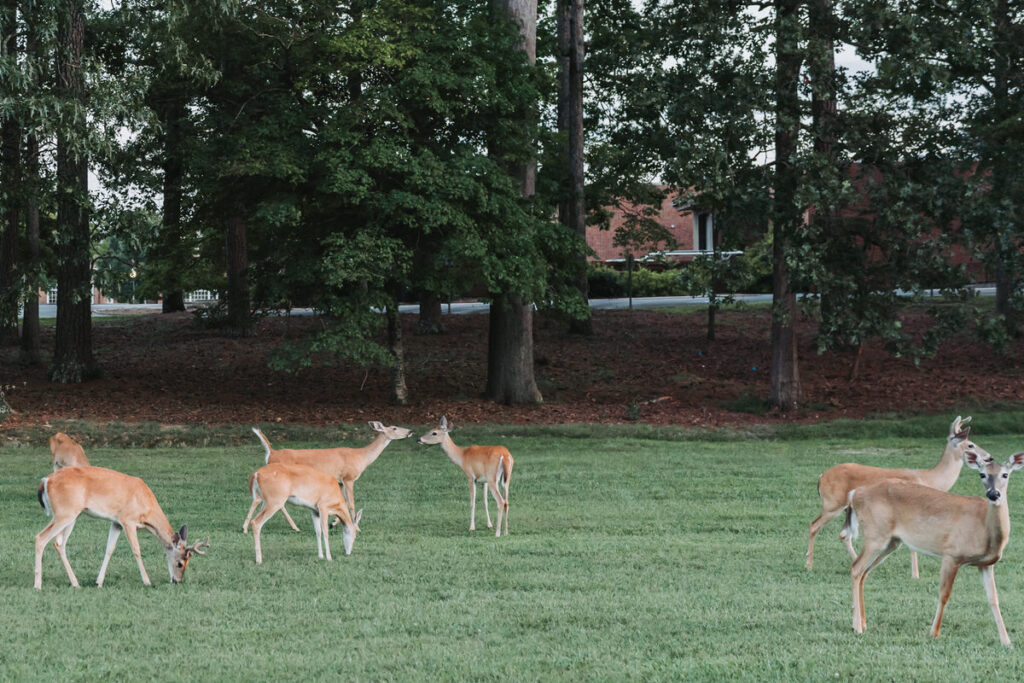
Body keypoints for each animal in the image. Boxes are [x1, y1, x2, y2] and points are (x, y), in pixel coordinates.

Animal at [35, 466, 208, 589]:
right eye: (180, 563)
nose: (178, 581)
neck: (146, 507)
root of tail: (45, 480)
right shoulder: (128, 520)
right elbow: (136, 549)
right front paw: (147, 581)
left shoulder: (116, 522)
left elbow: (109, 549)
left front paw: (98, 582)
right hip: (64, 512)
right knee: (40, 538)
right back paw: (38, 585)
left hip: (72, 515)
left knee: (59, 543)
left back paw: (75, 583)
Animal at [243, 417, 411, 532]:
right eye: (394, 428)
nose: (410, 431)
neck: (361, 457)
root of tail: (271, 453)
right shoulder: (348, 477)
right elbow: (351, 503)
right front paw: (355, 526)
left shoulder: (340, 481)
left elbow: (343, 501)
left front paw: (333, 523)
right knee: (273, 502)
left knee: (262, 500)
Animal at [806, 413, 983, 581]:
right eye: (970, 444)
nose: (986, 456)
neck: (929, 479)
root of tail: (821, 477)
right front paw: (916, 575)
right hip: (832, 504)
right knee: (814, 525)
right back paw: (809, 564)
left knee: (843, 535)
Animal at [843, 450, 1024, 651]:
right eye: (982, 474)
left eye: (1005, 474)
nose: (993, 494)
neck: (986, 529)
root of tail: (853, 494)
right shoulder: (952, 553)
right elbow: (944, 594)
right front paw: (934, 633)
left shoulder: (986, 564)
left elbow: (993, 599)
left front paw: (1006, 641)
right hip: (875, 535)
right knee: (856, 568)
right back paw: (857, 627)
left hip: (891, 542)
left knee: (864, 573)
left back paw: (863, 622)